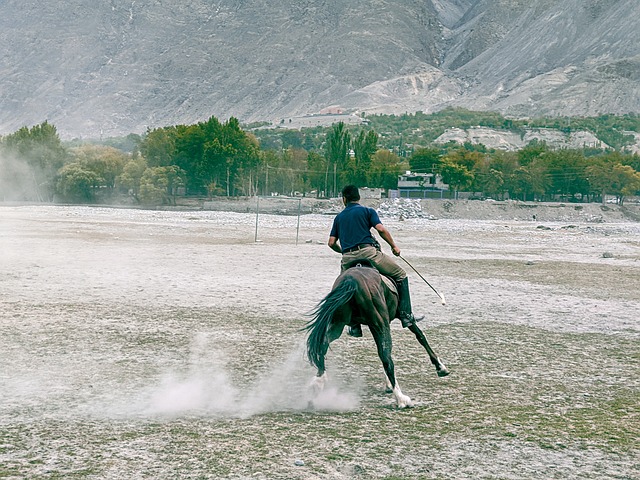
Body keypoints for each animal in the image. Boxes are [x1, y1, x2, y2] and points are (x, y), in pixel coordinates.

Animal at [304, 262, 450, 408]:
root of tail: (351, 280)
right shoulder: (398, 318)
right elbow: (420, 336)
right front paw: (440, 368)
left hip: (338, 323)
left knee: (323, 344)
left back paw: (317, 384)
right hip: (379, 323)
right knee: (386, 357)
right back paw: (401, 399)